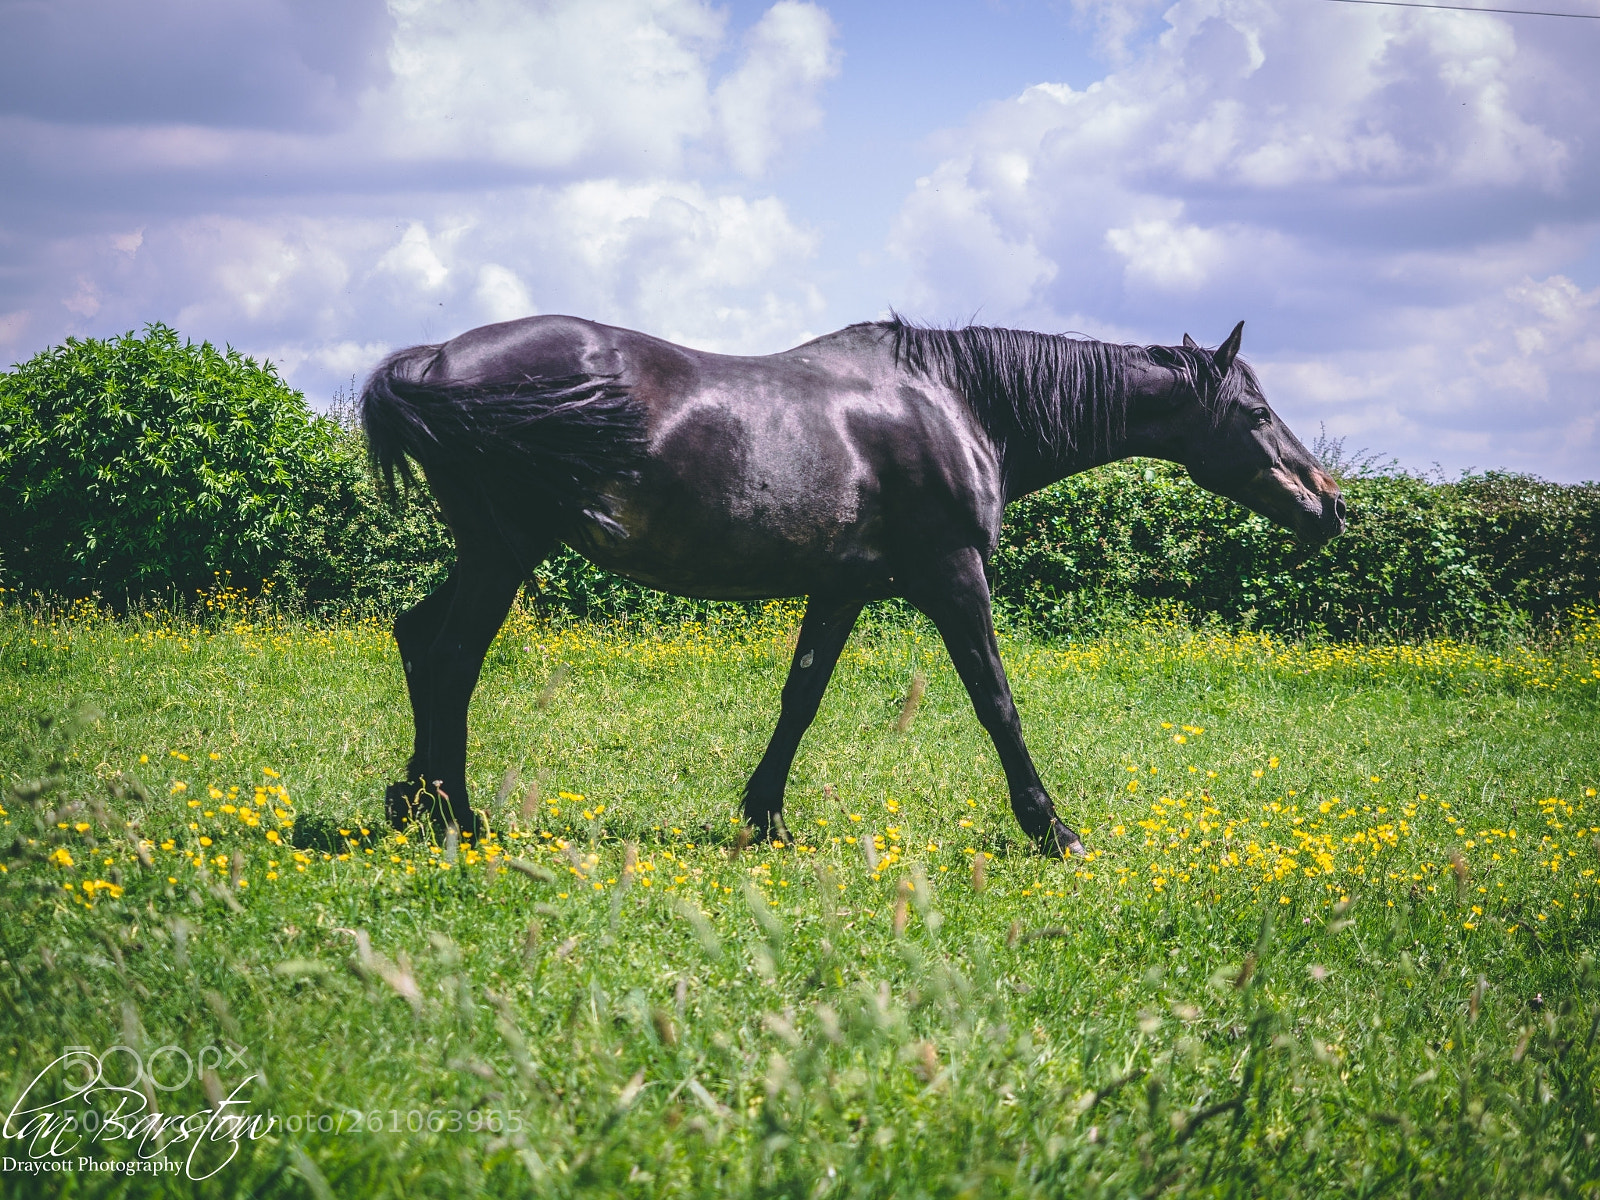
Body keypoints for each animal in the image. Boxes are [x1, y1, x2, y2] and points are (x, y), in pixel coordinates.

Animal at [359, 315, 1344, 857]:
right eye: (1255, 412)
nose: (1329, 504)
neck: (957, 404)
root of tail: (433, 361)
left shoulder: (841, 590)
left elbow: (800, 701)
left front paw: (763, 819)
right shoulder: (953, 576)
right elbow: (997, 702)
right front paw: (1052, 829)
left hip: (489, 553)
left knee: (418, 640)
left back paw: (413, 802)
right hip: (503, 554)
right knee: (450, 660)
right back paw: (457, 819)